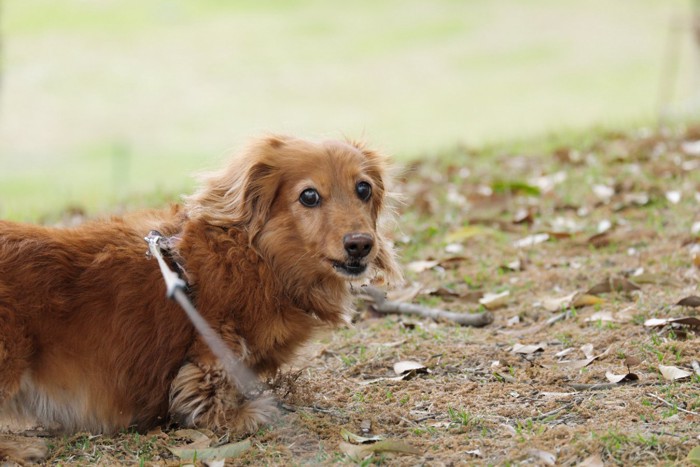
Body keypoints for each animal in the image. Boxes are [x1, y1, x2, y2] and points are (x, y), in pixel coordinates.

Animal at [0, 135, 400, 460]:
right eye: (309, 195)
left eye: (363, 189)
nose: (361, 245)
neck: (256, 257)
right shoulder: (214, 343)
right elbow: (212, 385)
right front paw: (242, 414)